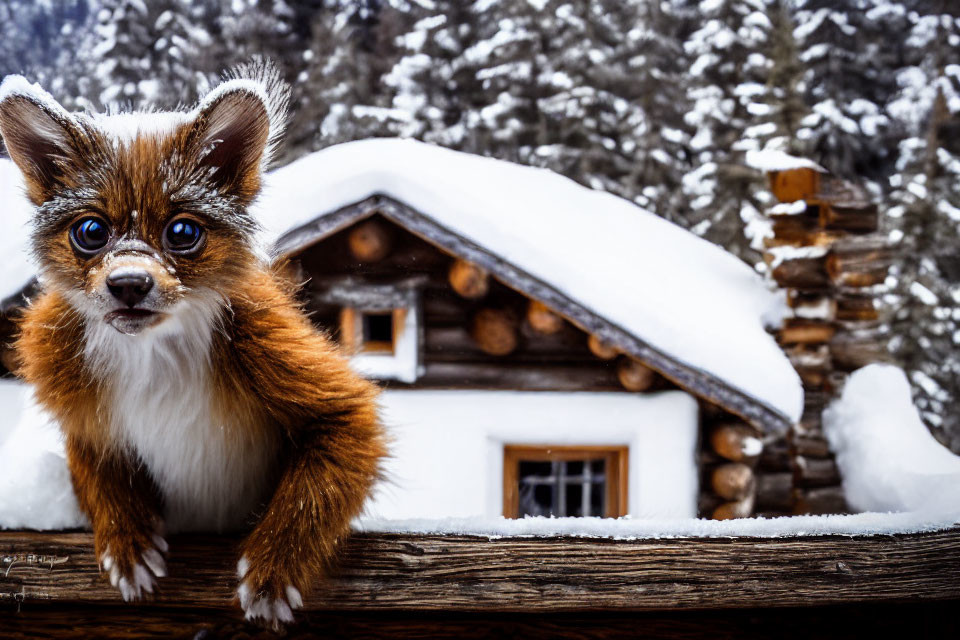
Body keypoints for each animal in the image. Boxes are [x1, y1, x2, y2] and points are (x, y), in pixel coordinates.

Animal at [0, 63, 386, 624]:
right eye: (91, 231)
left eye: (183, 232)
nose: (130, 283)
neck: (153, 356)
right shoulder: (83, 415)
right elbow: (97, 474)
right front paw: (126, 540)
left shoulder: (321, 393)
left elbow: (312, 495)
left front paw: (272, 570)